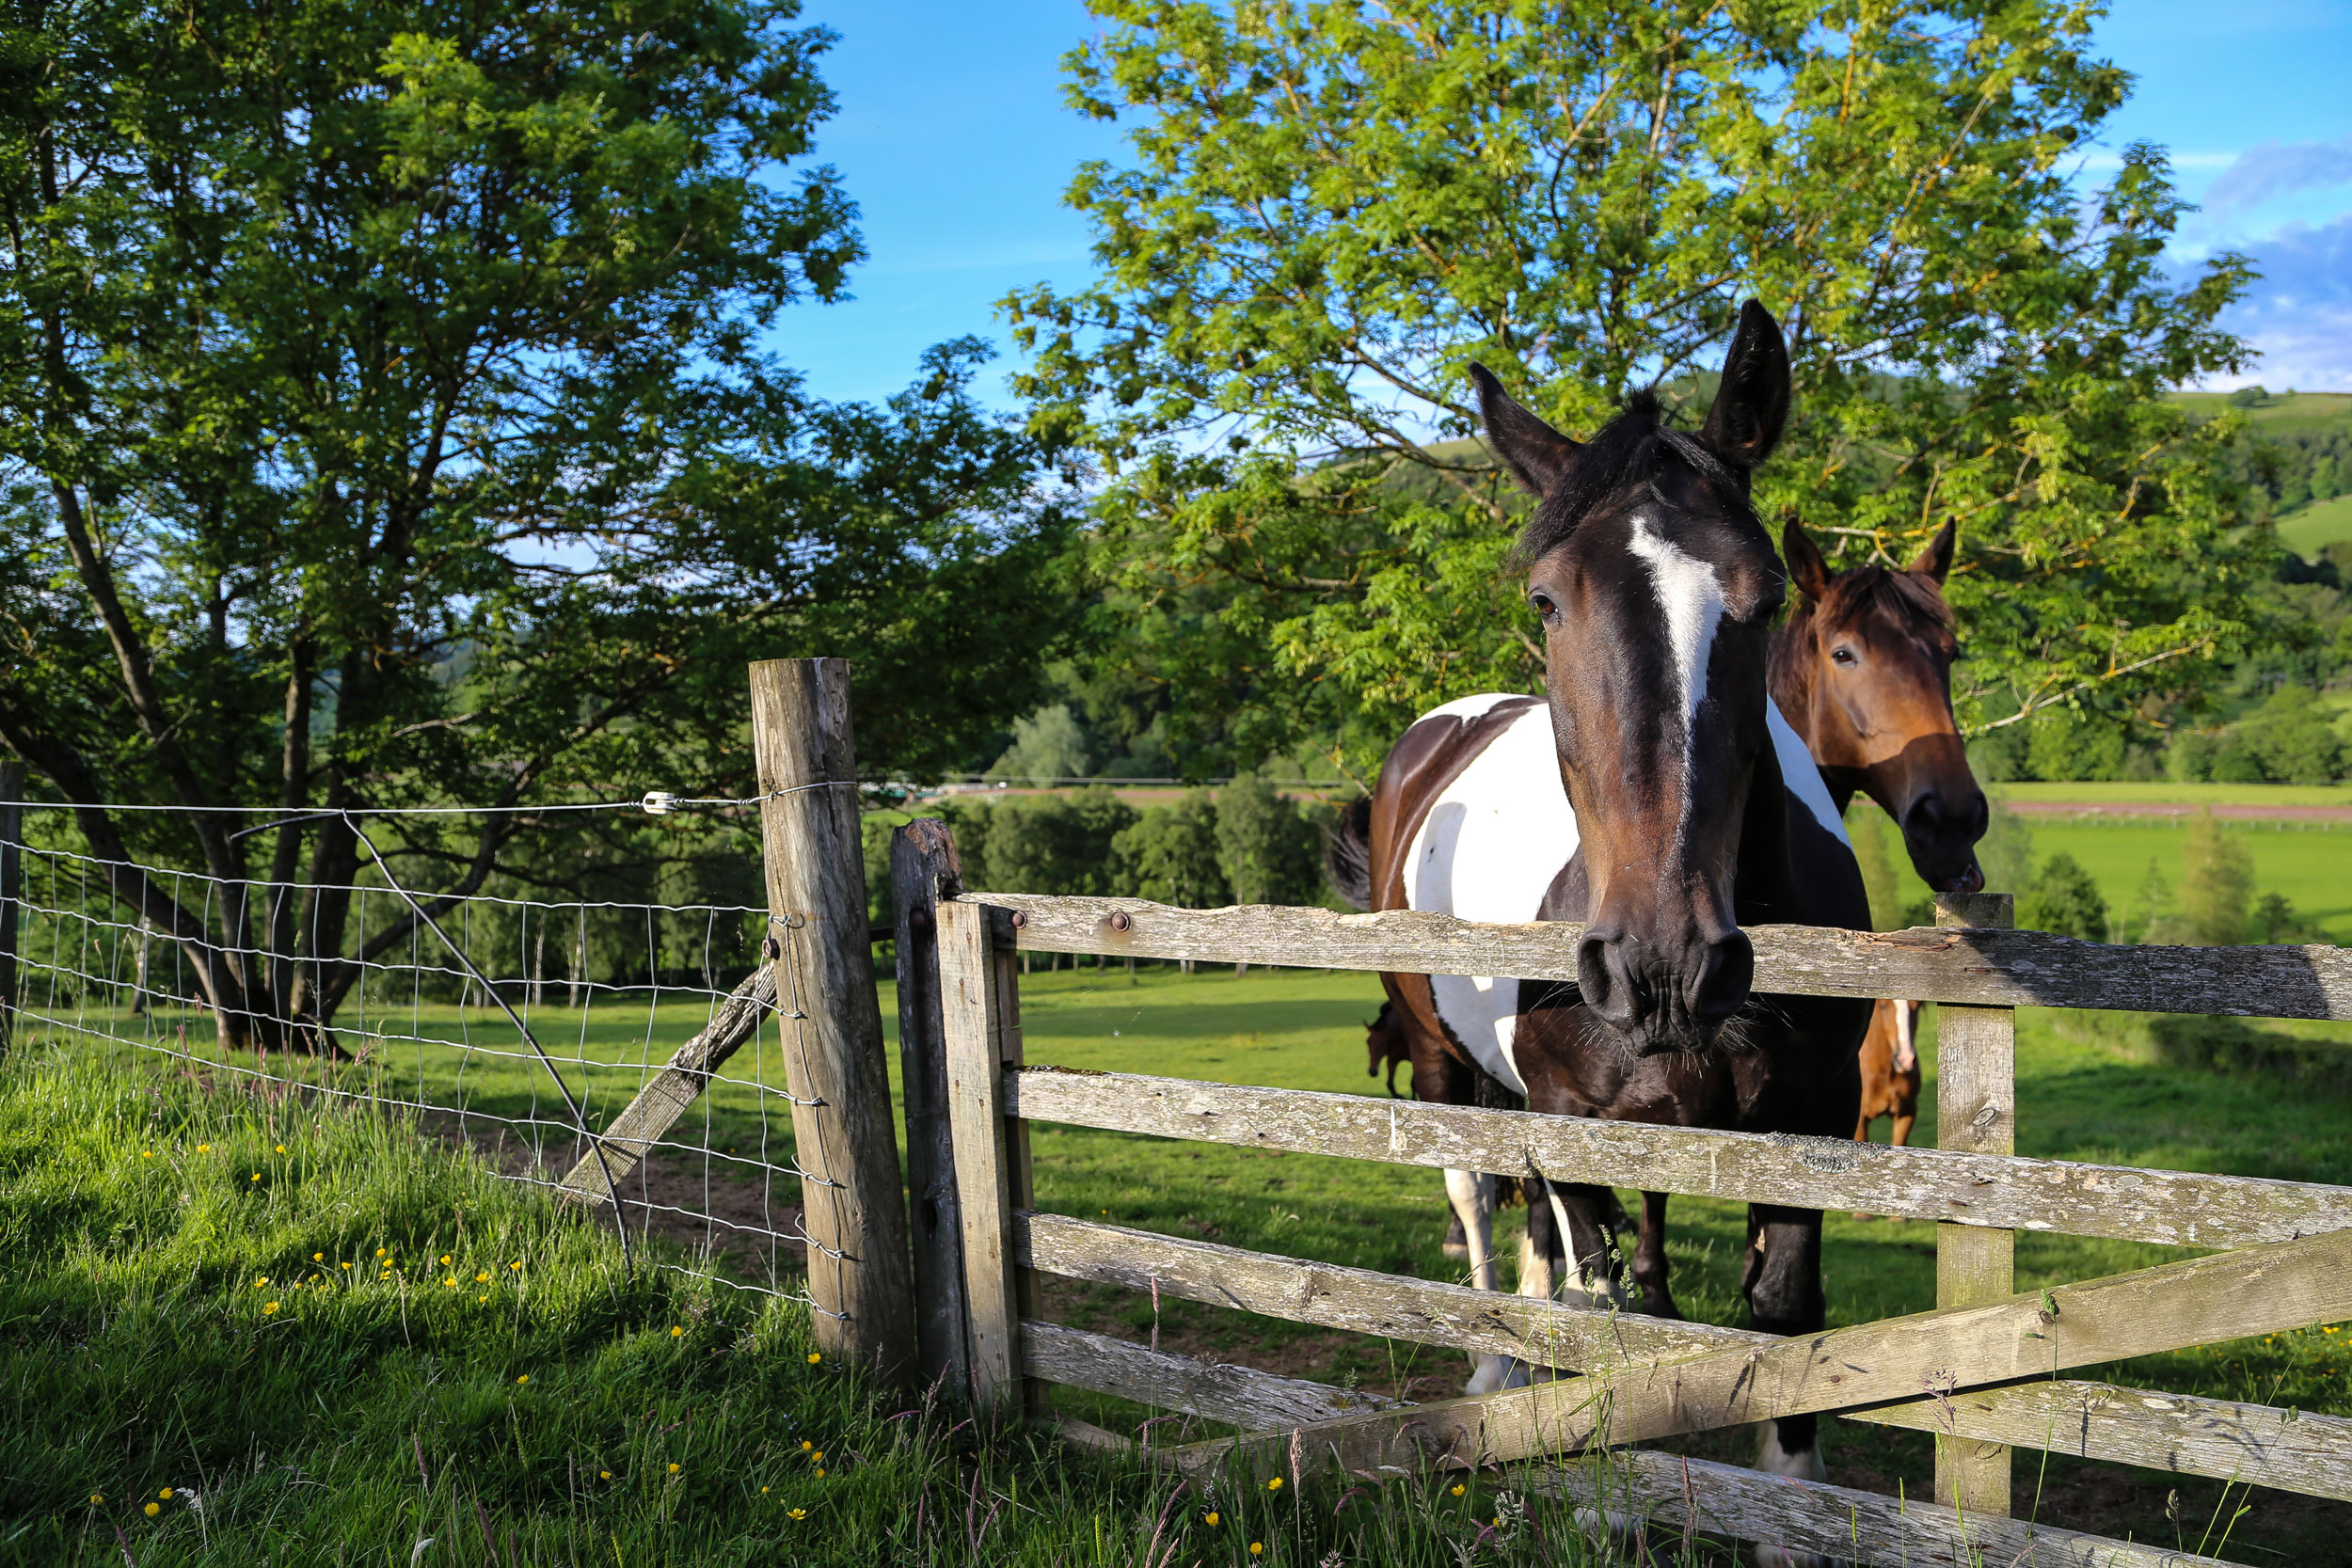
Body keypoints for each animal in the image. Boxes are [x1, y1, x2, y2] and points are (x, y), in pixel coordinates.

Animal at [1336, 303, 1863, 1523]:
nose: (1661, 962)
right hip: (1446, 1065)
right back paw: (1493, 1364)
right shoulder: (1571, 1114)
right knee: (1482, 1198)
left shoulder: (1809, 1126)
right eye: (1546, 598)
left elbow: (1779, 1332)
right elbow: (1607, 1318)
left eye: (1766, 596)